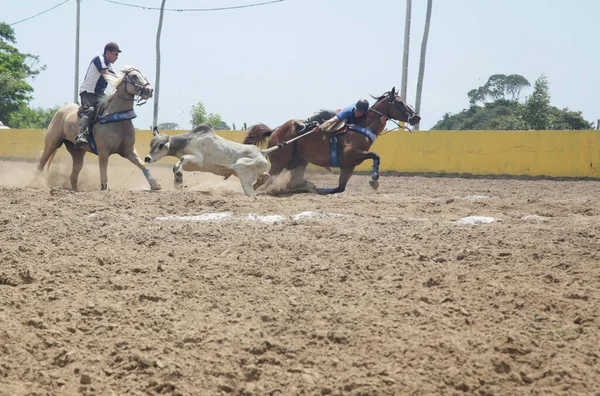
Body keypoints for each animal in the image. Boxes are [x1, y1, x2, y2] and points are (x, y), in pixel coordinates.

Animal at [241, 87, 420, 194]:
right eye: (399, 102)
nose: (416, 117)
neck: (360, 124)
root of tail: (275, 130)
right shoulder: (352, 154)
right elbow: (375, 155)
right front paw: (374, 178)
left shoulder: (349, 165)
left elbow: (340, 188)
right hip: (280, 161)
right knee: (266, 180)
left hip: (299, 161)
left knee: (291, 179)